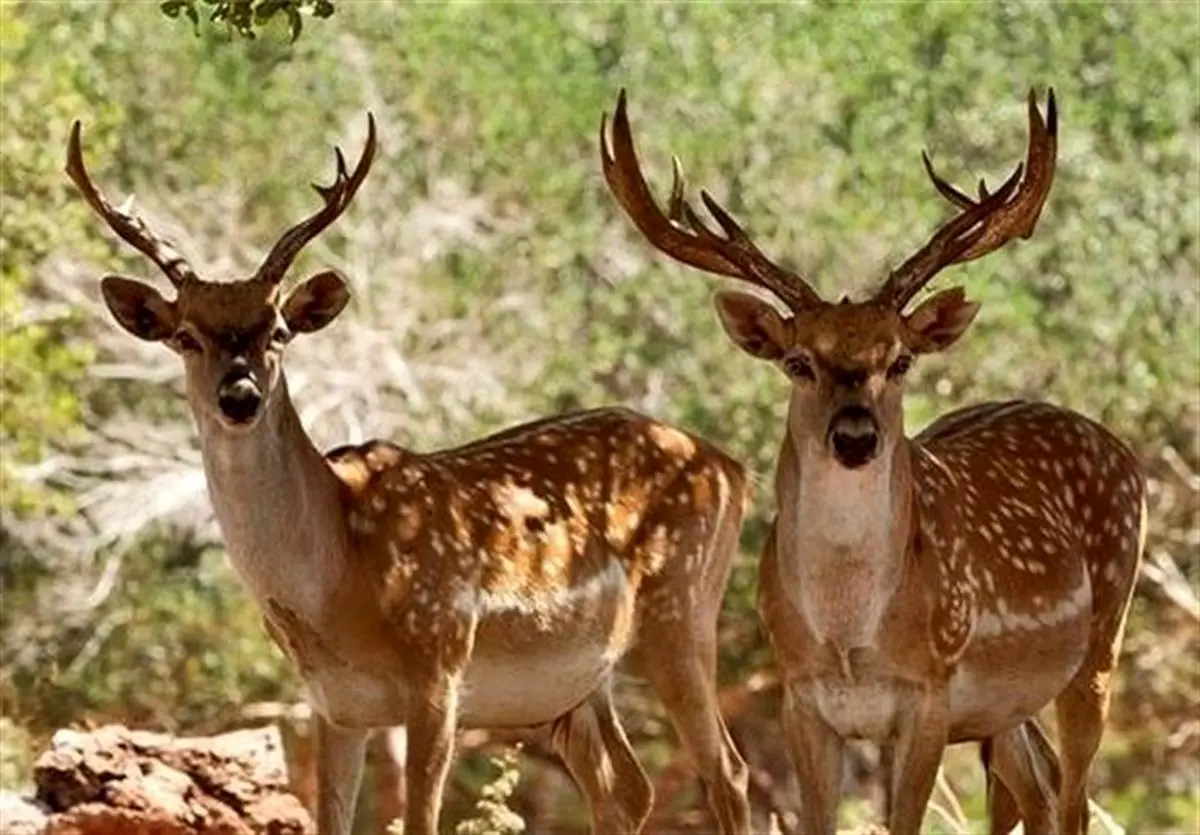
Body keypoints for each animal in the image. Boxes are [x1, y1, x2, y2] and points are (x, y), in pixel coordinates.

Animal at [63, 112, 748, 835]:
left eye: (278, 330)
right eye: (186, 335)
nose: (240, 395)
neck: (339, 584)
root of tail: (733, 467)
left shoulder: (439, 665)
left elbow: (421, 816)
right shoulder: (331, 703)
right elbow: (331, 818)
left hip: (683, 611)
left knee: (726, 771)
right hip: (584, 680)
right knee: (629, 785)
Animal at [604, 86, 1147, 835]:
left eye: (901, 359)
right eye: (798, 361)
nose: (856, 436)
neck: (848, 638)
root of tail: (1121, 450)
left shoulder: (929, 691)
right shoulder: (801, 696)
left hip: (1101, 639)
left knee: (1074, 799)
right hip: (1006, 705)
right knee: (1037, 790)